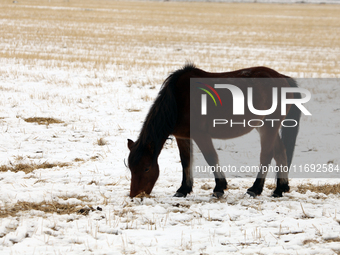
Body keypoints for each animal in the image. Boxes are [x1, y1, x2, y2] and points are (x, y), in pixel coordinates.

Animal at [127, 63, 300, 197]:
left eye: (146, 168)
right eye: (130, 168)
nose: (135, 195)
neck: (178, 100)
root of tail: (282, 77)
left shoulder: (201, 135)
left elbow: (211, 157)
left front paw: (219, 187)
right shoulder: (182, 137)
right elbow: (186, 160)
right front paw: (183, 189)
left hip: (269, 126)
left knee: (267, 155)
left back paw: (255, 189)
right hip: (263, 126)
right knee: (280, 152)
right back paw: (280, 188)